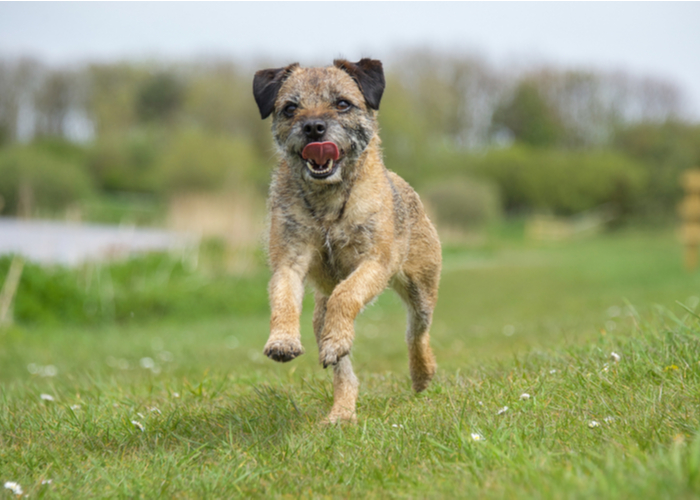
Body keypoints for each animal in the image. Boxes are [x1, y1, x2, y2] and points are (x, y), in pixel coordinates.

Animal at [252, 59, 440, 426]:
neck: (327, 200)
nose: (313, 128)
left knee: (416, 332)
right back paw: (342, 410)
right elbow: (283, 298)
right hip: (318, 316)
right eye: (290, 108)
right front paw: (282, 340)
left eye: (342, 103)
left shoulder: (374, 263)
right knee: (344, 372)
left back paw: (422, 374)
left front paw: (337, 337)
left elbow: (347, 294)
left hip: (422, 288)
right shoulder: (289, 261)